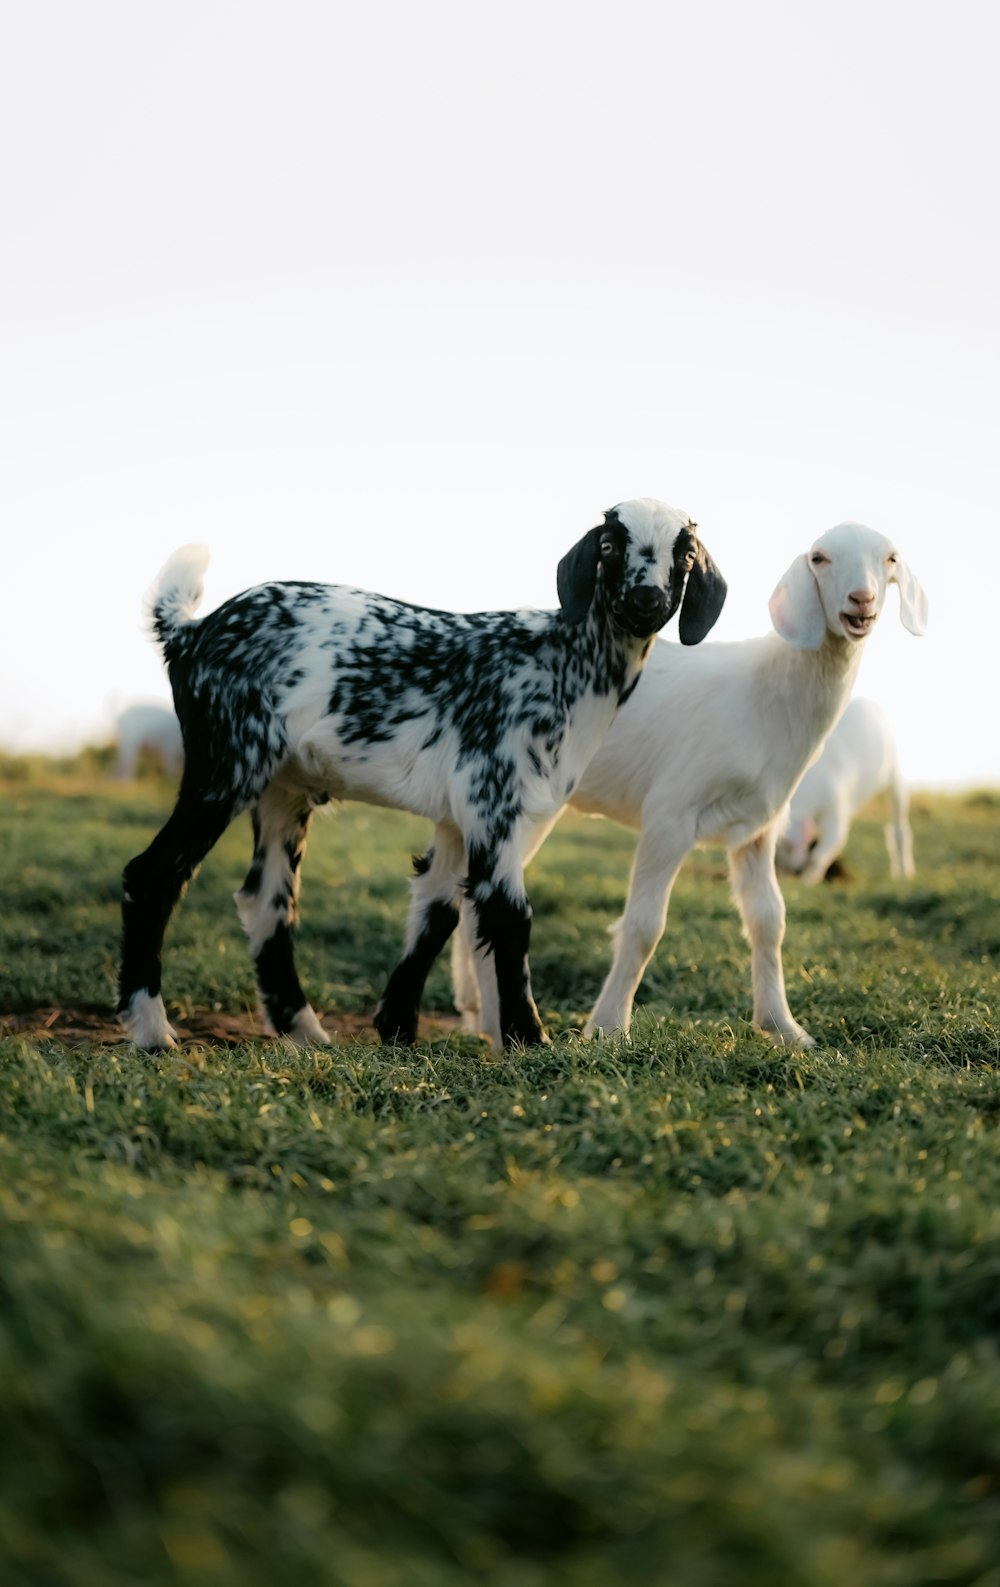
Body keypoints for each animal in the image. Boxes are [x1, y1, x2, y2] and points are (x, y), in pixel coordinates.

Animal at [117, 498, 730, 1053]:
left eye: (685, 553)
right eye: (607, 546)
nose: (646, 598)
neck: (561, 663)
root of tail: (191, 632)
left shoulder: (457, 818)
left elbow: (438, 911)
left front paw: (397, 1030)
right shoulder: (492, 797)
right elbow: (509, 916)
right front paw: (530, 1040)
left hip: (282, 789)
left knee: (267, 901)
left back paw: (308, 1034)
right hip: (228, 759)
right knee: (154, 874)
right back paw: (153, 1032)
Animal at [774, 701, 914, 888]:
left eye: (790, 847)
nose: (792, 872)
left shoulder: (836, 805)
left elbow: (829, 845)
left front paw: (809, 881)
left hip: (894, 772)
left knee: (899, 825)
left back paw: (904, 875)